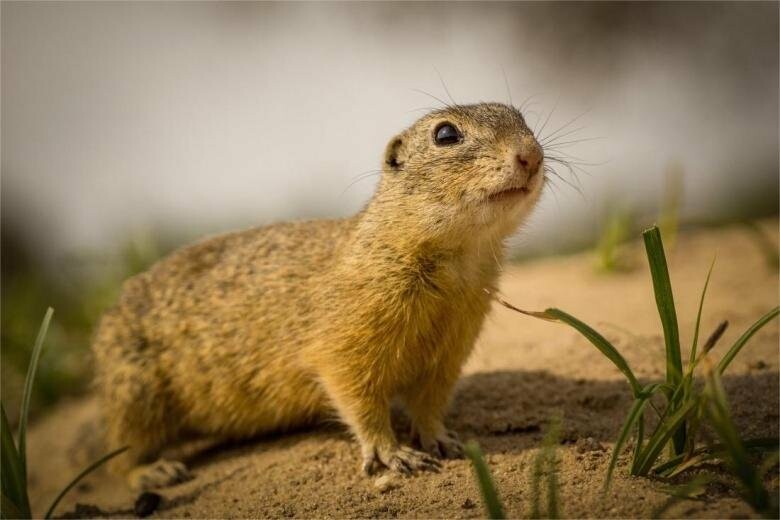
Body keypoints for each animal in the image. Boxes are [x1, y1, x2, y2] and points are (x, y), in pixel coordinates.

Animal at [93, 100, 544, 488]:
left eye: (522, 118)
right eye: (446, 134)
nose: (531, 155)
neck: (456, 262)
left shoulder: (450, 352)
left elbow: (430, 404)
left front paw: (444, 440)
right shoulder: (344, 344)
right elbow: (360, 401)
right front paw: (393, 454)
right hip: (136, 398)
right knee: (118, 459)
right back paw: (155, 472)